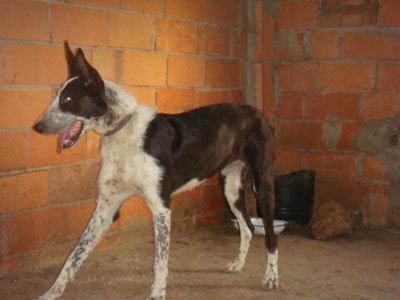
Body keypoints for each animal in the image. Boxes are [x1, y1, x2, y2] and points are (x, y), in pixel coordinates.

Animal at [32, 42, 278, 300]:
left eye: (68, 99)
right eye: (56, 97)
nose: (37, 127)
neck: (122, 132)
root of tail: (255, 111)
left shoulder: (161, 206)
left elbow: (160, 259)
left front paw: (157, 292)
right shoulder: (106, 206)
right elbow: (74, 255)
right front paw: (52, 291)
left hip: (262, 186)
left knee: (270, 235)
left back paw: (271, 277)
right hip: (230, 188)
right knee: (248, 227)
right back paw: (238, 264)